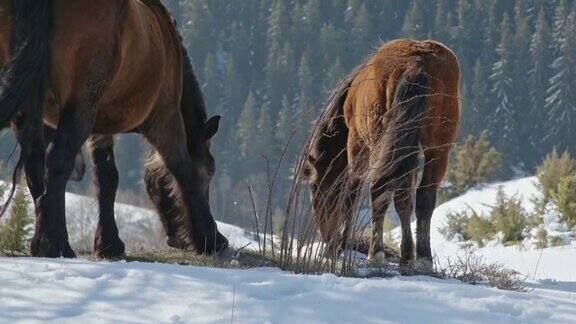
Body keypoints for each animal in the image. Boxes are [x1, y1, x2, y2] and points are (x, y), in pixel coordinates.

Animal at [0, 0, 228, 258]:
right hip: (81, 105)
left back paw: (46, 241)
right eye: (210, 171)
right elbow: (183, 169)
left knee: (35, 167)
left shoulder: (100, 128)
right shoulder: (166, 117)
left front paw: (108, 243)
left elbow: (106, 178)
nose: (175, 239)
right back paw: (55, 244)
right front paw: (210, 238)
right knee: (56, 163)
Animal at [304, 39, 462, 268]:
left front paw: (343, 245)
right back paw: (423, 257)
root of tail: (416, 64)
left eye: (317, 191)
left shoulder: (358, 142)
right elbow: (405, 200)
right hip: (436, 147)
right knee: (424, 196)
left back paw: (375, 253)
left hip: (378, 141)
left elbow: (352, 193)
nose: (328, 240)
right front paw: (407, 254)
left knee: (379, 189)